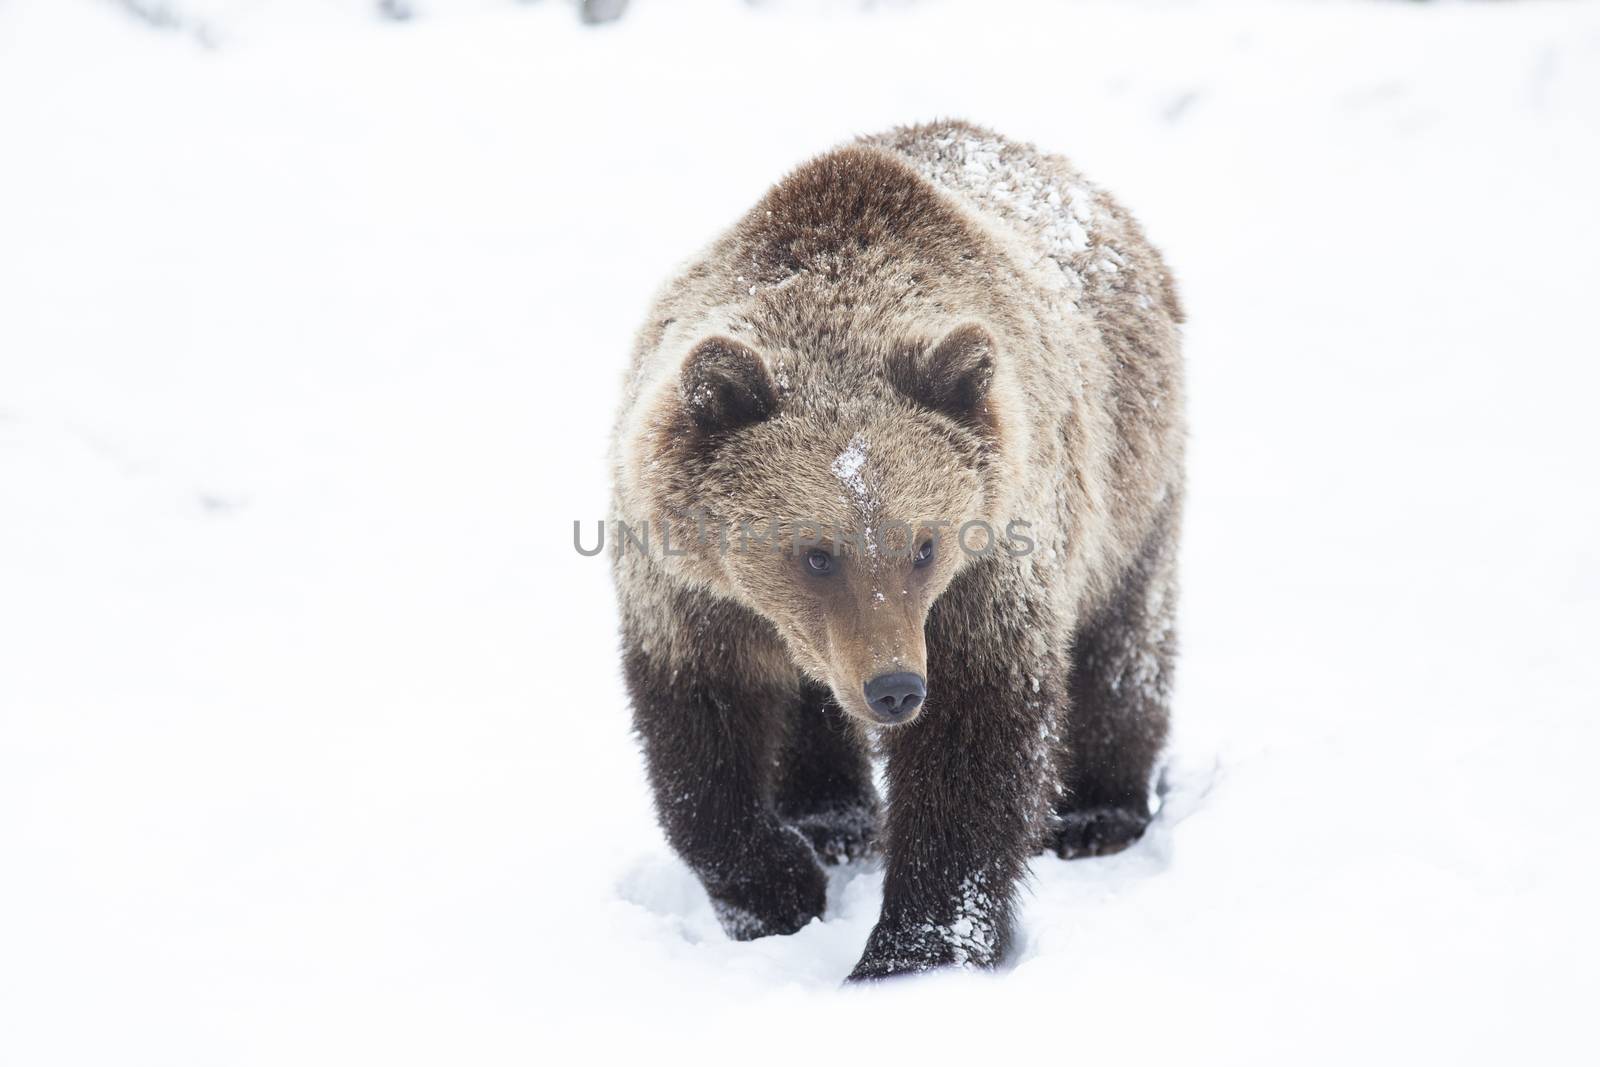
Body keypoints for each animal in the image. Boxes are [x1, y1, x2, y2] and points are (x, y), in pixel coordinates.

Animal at [604, 120, 1184, 979]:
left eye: (926, 545)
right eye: (817, 553)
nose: (895, 688)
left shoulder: (989, 567)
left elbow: (972, 744)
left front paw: (913, 950)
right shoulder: (686, 587)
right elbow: (697, 746)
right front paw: (780, 887)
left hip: (1132, 478)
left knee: (1123, 639)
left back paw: (1098, 812)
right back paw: (832, 818)